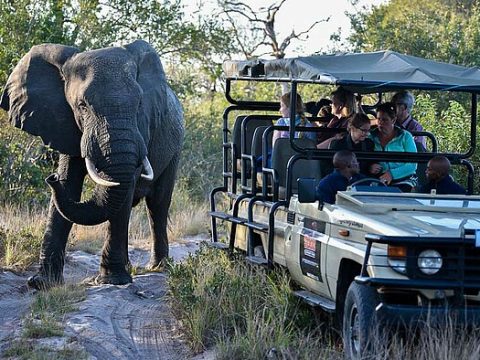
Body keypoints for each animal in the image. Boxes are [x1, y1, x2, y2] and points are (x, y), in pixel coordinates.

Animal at [0, 39, 184, 288]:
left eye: (139, 104)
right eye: (82, 105)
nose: (51, 178)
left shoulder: (141, 128)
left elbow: (124, 187)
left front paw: (112, 280)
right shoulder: (65, 123)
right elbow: (70, 185)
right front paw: (41, 284)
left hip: (176, 147)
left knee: (158, 204)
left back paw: (158, 267)